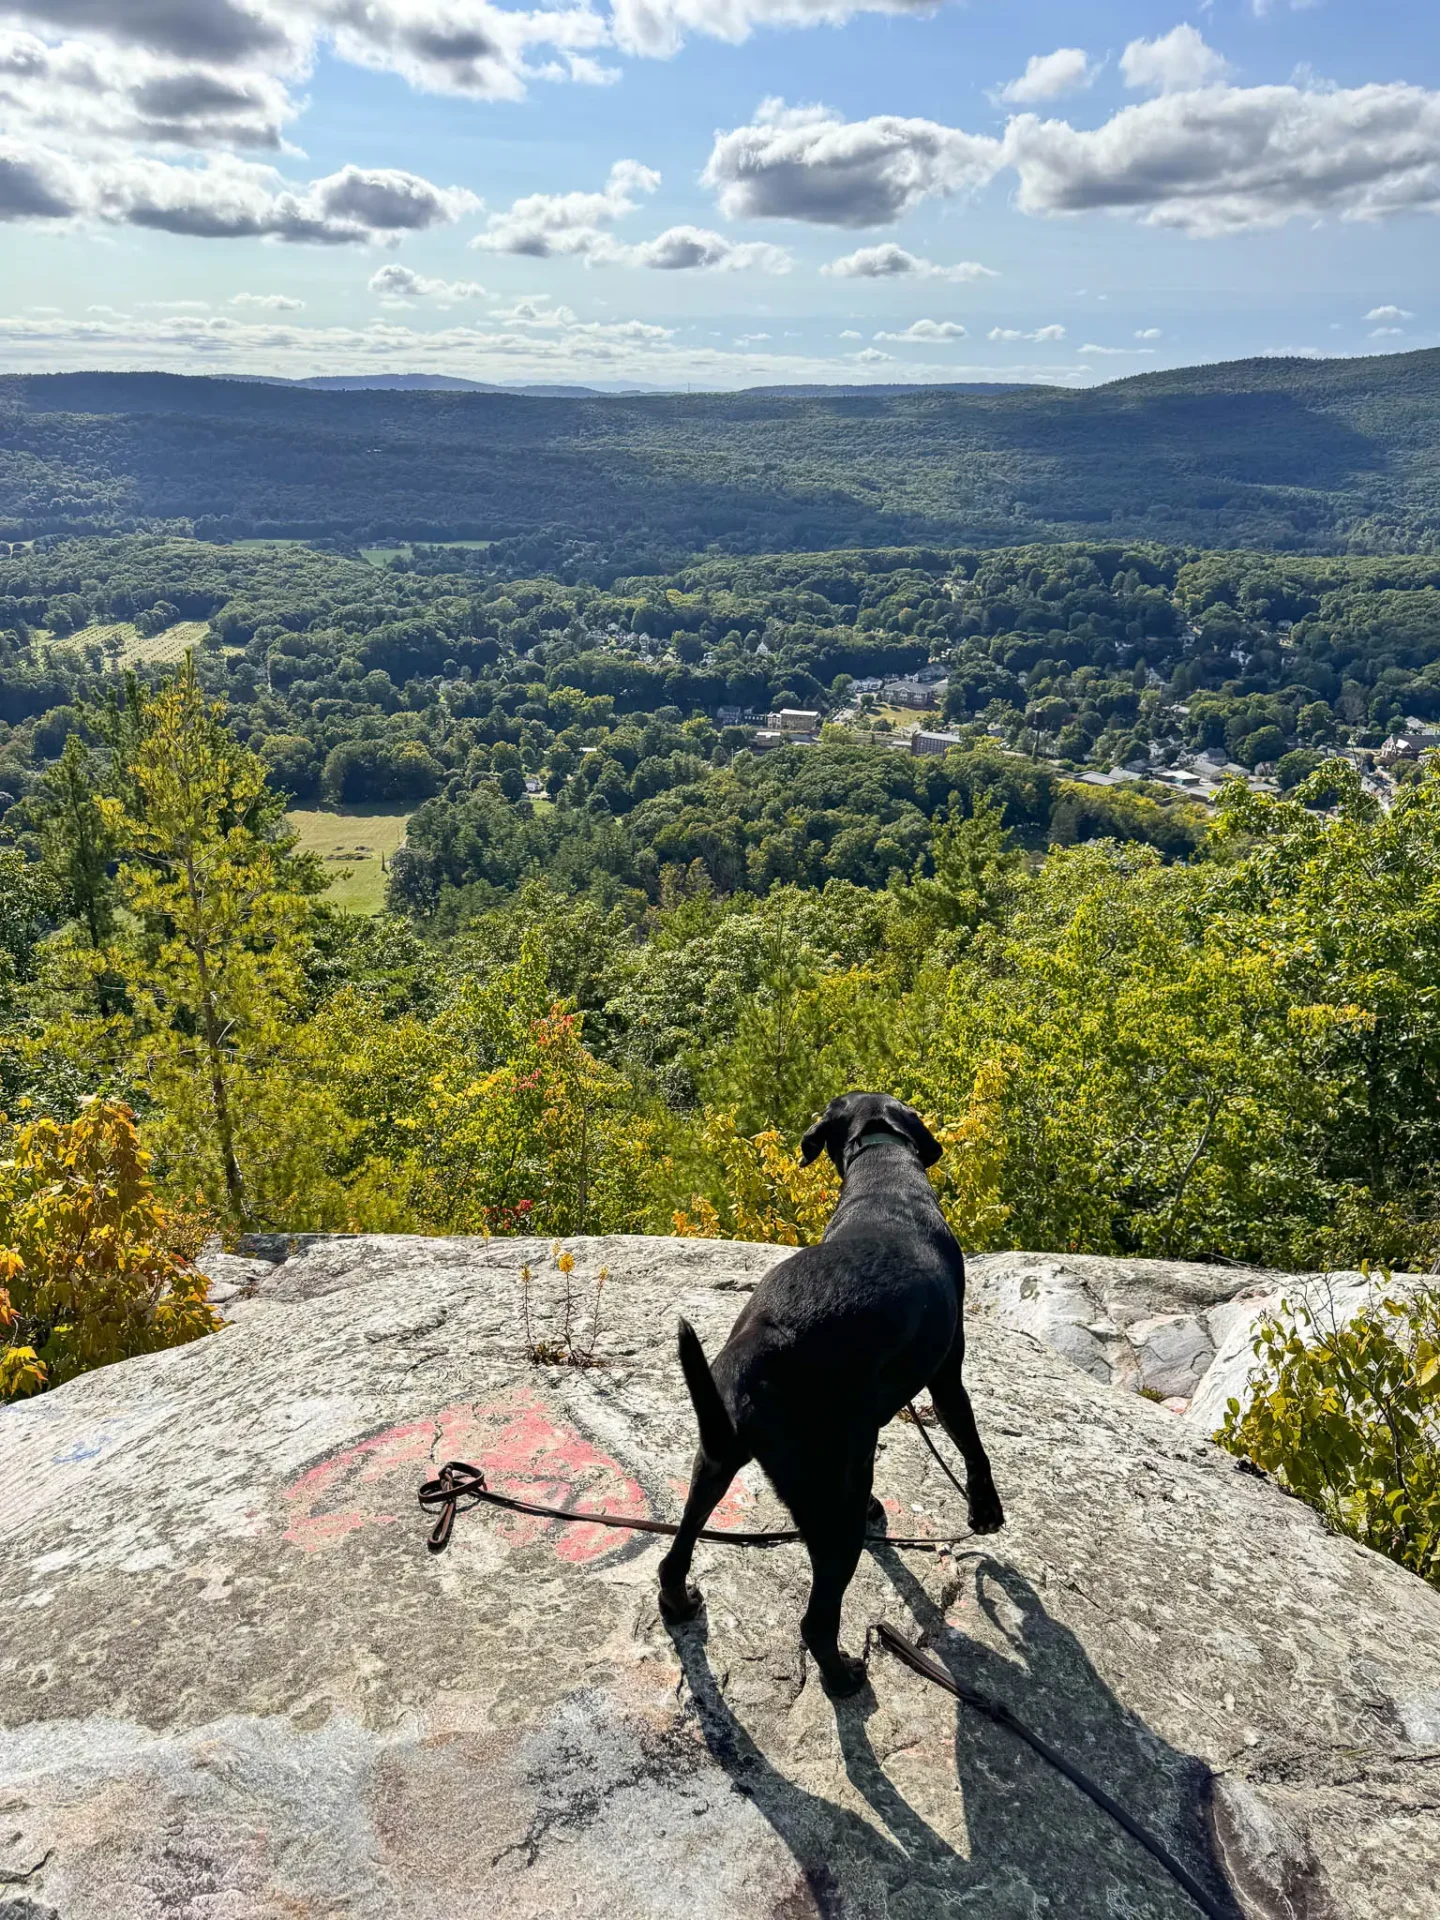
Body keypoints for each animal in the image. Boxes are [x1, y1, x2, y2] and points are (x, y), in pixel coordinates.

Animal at [664, 1098, 1006, 1697]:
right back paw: (844, 1677)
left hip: (714, 1463)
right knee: (816, 1622)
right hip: (829, 1513)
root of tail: (756, 1346)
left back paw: (679, 1603)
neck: (882, 1166)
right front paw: (984, 1507)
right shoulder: (946, 1374)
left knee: (673, 1557)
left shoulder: (863, 1429)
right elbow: (970, 1441)